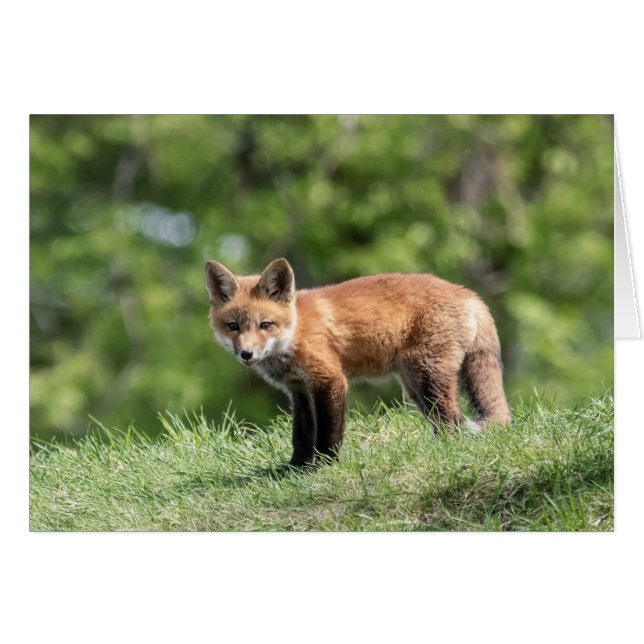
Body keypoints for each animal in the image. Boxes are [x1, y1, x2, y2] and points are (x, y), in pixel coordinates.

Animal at [205, 258, 511, 467]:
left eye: (265, 325)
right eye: (233, 326)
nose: (246, 354)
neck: (295, 331)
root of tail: (469, 294)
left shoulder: (330, 380)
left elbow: (329, 432)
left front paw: (325, 465)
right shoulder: (299, 390)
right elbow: (301, 434)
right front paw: (295, 468)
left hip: (426, 376)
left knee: (452, 421)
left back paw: (444, 450)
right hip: (414, 385)